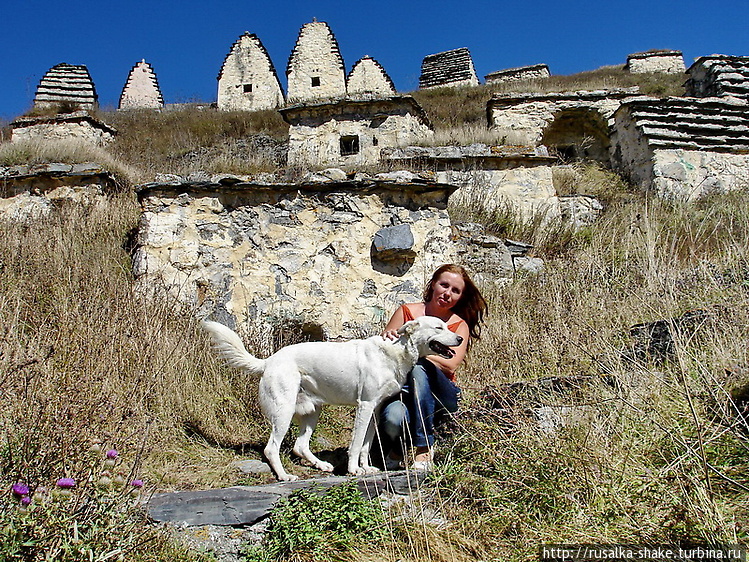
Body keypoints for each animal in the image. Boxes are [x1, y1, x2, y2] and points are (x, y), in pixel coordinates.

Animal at [203, 318, 462, 480]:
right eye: (439, 327)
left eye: (448, 326)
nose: (460, 339)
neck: (397, 352)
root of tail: (269, 361)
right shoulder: (364, 406)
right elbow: (356, 444)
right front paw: (353, 470)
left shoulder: (375, 409)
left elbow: (366, 444)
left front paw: (366, 468)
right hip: (283, 411)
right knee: (271, 449)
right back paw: (285, 475)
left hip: (312, 412)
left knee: (300, 445)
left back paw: (321, 465)